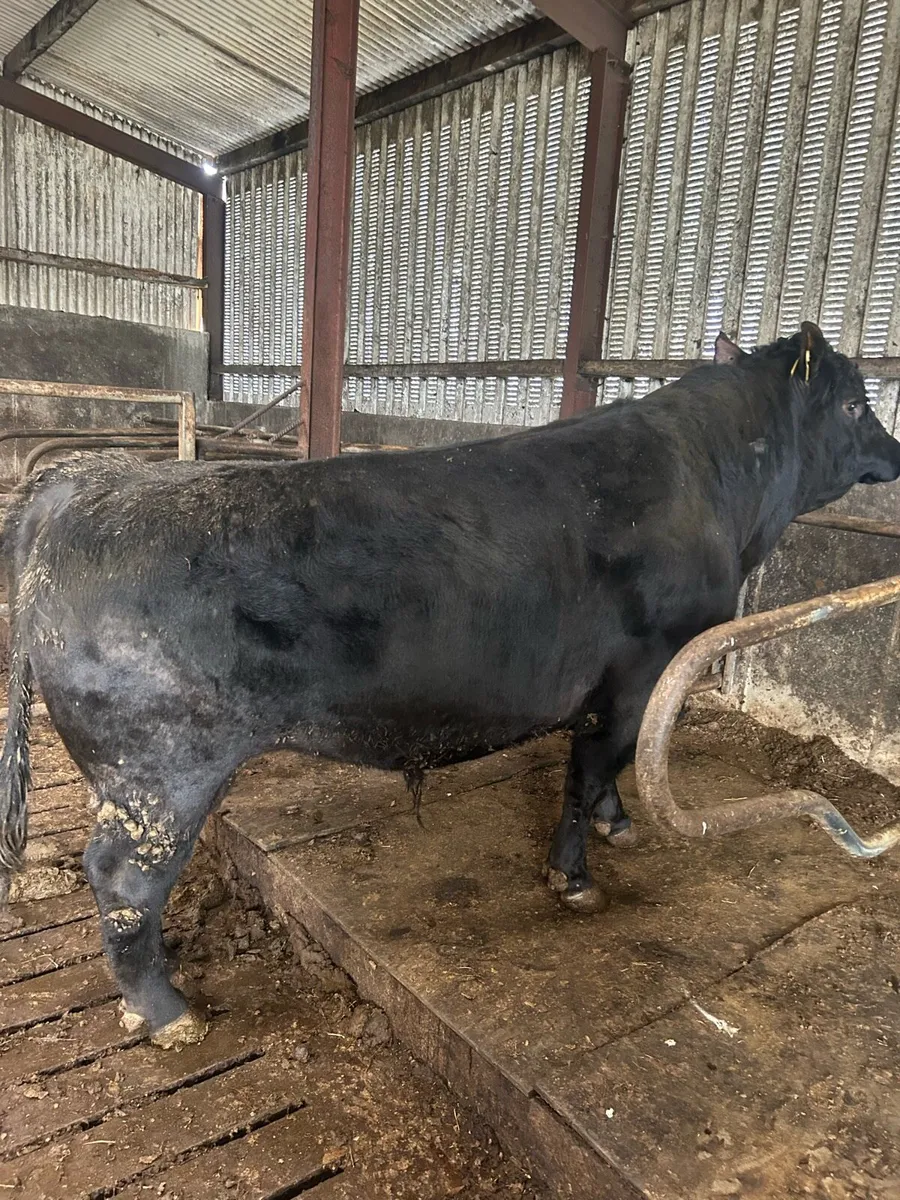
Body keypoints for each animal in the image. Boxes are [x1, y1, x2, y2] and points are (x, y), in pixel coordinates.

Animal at [1, 322, 898, 1050]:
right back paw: (166, 1013)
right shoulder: (638, 674)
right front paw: (573, 878)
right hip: (160, 772)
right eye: (857, 405)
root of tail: (84, 484)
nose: (892, 452)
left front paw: (619, 826)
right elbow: (588, 770)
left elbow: (609, 773)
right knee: (122, 879)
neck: (718, 491)